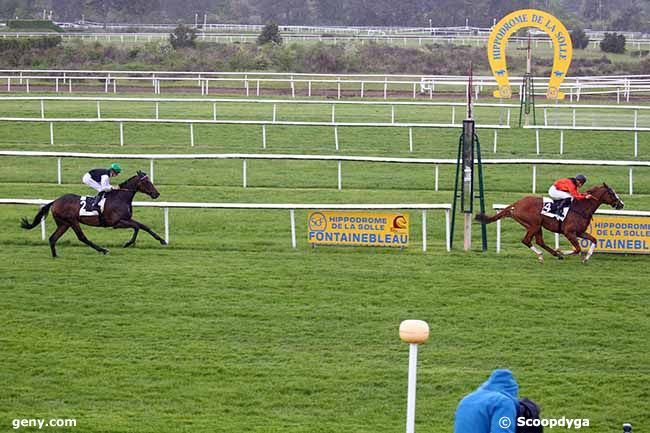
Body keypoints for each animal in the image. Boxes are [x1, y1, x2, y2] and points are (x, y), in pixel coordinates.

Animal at [21, 170, 166, 256]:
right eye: (146, 181)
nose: (157, 194)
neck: (120, 198)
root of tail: (55, 201)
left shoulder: (127, 219)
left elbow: (144, 226)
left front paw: (162, 240)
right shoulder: (116, 223)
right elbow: (136, 227)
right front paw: (128, 243)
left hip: (64, 224)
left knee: (53, 238)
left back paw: (55, 255)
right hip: (72, 221)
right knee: (82, 237)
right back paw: (103, 250)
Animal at [476, 183, 624, 264]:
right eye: (612, 193)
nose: (621, 204)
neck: (581, 208)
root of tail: (515, 205)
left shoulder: (580, 231)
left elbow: (594, 240)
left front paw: (586, 258)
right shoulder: (569, 232)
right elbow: (577, 248)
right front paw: (562, 251)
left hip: (537, 226)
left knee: (539, 241)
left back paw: (553, 255)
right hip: (534, 224)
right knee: (526, 240)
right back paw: (545, 255)